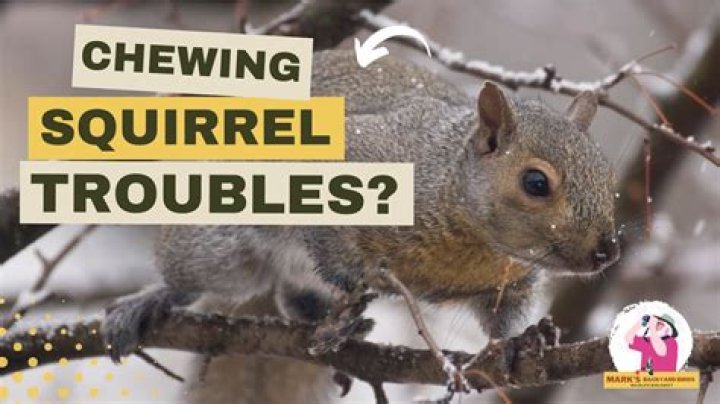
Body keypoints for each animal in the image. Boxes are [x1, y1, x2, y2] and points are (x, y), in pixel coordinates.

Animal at [102, 49, 619, 363]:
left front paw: (524, 340)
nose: (607, 251)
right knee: (196, 277)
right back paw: (149, 301)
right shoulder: (352, 159)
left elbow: (505, 318)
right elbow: (331, 241)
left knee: (291, 294)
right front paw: (349, 277)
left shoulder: (509, 281)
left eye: (607, 172)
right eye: (535, 182)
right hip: (220, 247)